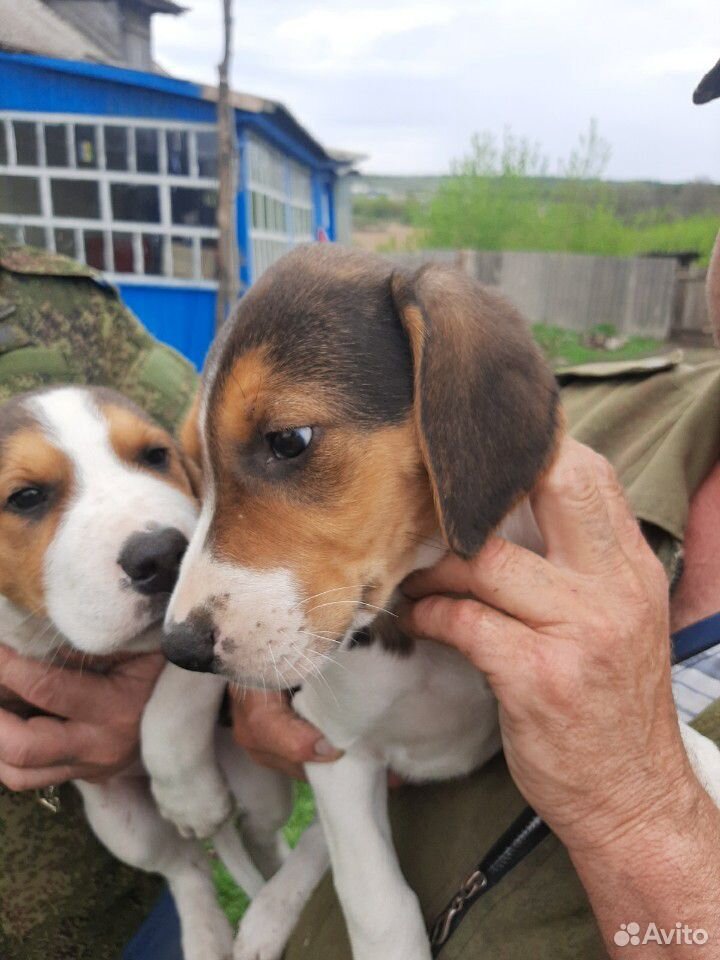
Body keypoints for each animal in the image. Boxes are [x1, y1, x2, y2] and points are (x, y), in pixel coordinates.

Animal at [0, 386, 292, 960]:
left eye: (156, 456)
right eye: (25, 498)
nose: (163, 556)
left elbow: (173, 697)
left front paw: (186, 791)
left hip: (256, 783)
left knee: (262, 838)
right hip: (120, 822)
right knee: (186, 870)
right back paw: (205, 937)